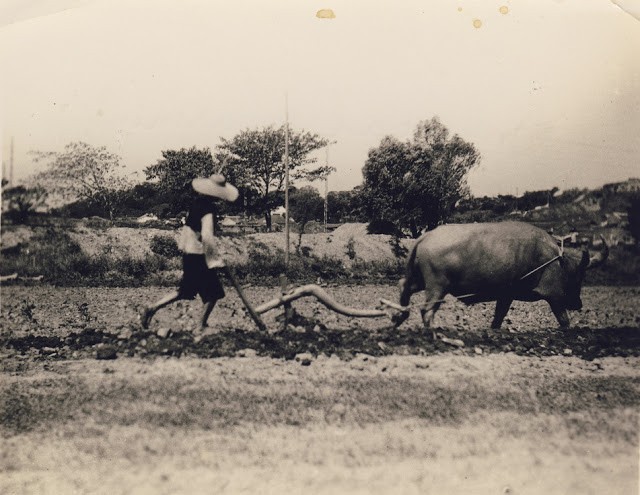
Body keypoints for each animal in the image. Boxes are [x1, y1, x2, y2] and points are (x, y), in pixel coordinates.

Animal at [392, 222, 608, 336]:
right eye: (579, 276)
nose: (578, 304)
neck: (557, 260)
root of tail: (425, 238)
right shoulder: (553, 295)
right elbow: (564, 320)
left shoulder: (506, 295)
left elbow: (498, 317)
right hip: (437, 285)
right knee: (426, 309)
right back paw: (431, 333)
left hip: (420, 280)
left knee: (404, 288)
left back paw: (397, 319)